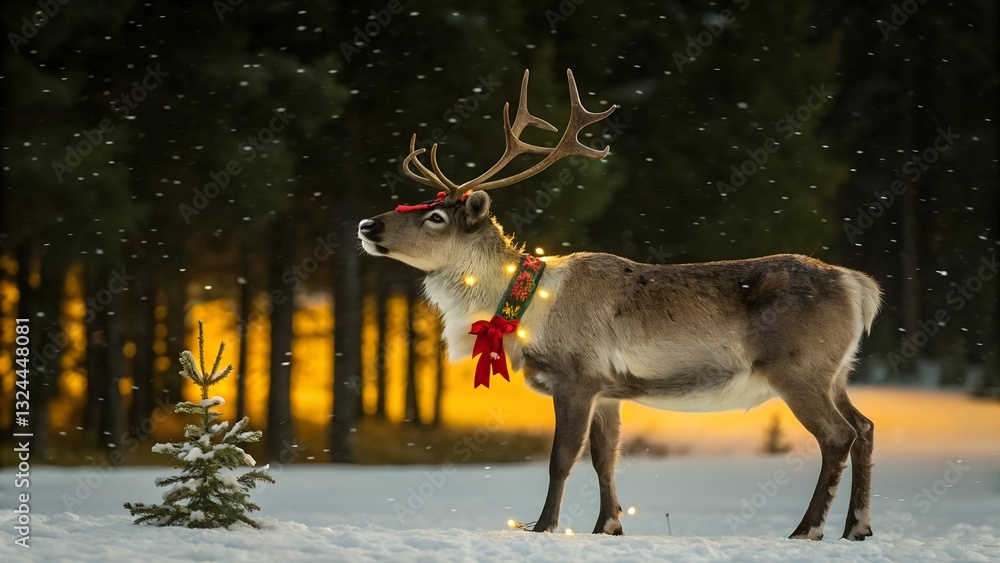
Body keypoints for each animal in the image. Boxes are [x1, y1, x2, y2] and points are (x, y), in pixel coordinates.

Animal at [358, 69, 882, 541]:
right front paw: (607, 525)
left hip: (797, 369)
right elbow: (604, 458)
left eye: (436, 217)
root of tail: (860, 286)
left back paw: (808, 529)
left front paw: (544, 527)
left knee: (838, 435)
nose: (367, 224)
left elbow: (561, 458)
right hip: (836, 371)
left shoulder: (577, 376)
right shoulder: (608, 390)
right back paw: (857, 528)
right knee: (865, 425)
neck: (524, 310)